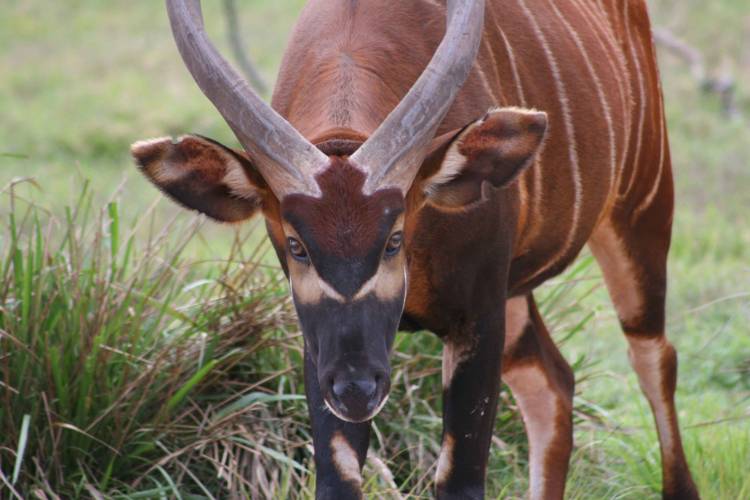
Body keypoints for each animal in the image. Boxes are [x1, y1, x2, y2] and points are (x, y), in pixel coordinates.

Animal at [132, 0, 704, 498]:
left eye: (394, 239)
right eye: (296, 245)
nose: (357, 388)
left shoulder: (476, 318)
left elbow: (459, 480)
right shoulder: (319, 349)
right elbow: (338, 479)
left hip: (640, 214)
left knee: (654, 358)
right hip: (517, 298)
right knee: (553, 381)